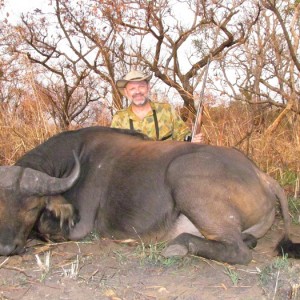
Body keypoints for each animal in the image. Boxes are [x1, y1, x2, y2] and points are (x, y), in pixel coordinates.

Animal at [0, 125, 298, 264]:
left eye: (31, 207)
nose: (6, 248)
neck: (76, 159)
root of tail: (262, 176)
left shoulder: (80, 228)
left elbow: (46, 229)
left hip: (183, 175)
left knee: (238, 251)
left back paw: (178, 246)